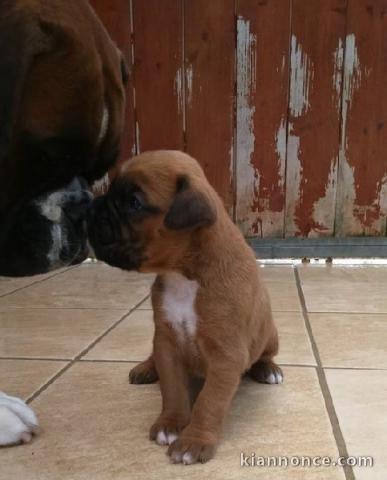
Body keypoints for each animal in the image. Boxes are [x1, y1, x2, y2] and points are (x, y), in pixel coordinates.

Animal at [88, 151, 284, 464]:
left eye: (134, 202)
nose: (92, 207)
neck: (185, 275)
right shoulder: (166, 341)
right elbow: (173, 389)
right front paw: (170, 423)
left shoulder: (226, 356)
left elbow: (209, 402)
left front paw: (194, 440)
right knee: (154, 358)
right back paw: (146, 368)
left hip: (271, 334)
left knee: (263, 354)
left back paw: (268, 369)